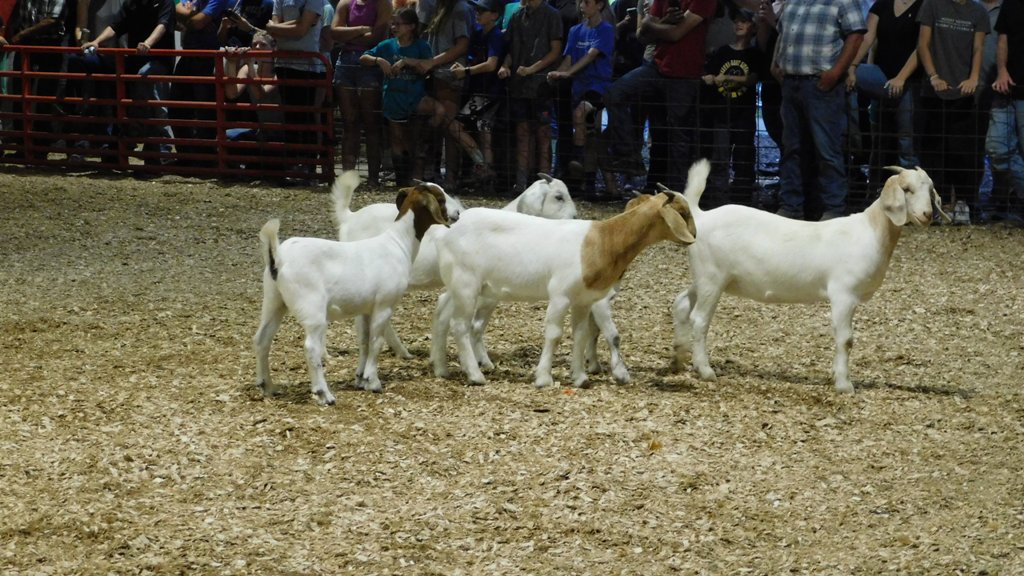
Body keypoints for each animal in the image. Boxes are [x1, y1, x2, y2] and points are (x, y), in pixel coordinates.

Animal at [253, 172, 448, 405]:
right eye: (441, 198)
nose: (456, 215)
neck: (397, 243)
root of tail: (278, 258)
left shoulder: (365, 308)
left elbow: (364, 341)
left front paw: (360, 379)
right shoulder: (384, 304)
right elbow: (376, 342)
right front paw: (373, 382)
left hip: (273, 300)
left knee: (262, 338)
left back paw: (267, 386)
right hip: (311, 307)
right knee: (311, 347)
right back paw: (324, 394)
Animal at [435, 178, 699, 389]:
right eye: (684, 212)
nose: (694, 236)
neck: (603, 240)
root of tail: (451, 227)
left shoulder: (583, 300)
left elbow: (581, 334)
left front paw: (580, 377)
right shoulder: (560, 295)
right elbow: (554, 334)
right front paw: (544, 378)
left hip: (460, 286)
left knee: (445, 316)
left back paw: (442, 368)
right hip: (466, 284)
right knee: (460, 326)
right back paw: (475, 375)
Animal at [672, 161, 943, 393]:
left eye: (929, 189)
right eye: (907, 189)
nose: (927, 215)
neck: (870, 231)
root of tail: (700, 215)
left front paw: (835, 376)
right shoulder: (843, 294)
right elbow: (846, 339)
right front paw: (844, 385)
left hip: (707, 278)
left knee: (682, 303)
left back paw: (679, 357)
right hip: (712, 278)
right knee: (700, 319)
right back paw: (705, 370)